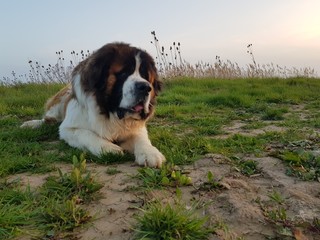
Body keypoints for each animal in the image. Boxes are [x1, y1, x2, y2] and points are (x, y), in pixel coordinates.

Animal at [21, 42, 166, 168]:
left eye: (145, 76)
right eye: (123, 73)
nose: (145, 87)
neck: (109, 112)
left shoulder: (135, 128)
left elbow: (141, 138)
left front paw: (150, 152)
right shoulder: (67, 129)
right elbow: (85, 134)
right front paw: (108, 148)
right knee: (48, 119)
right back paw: (31, 124)